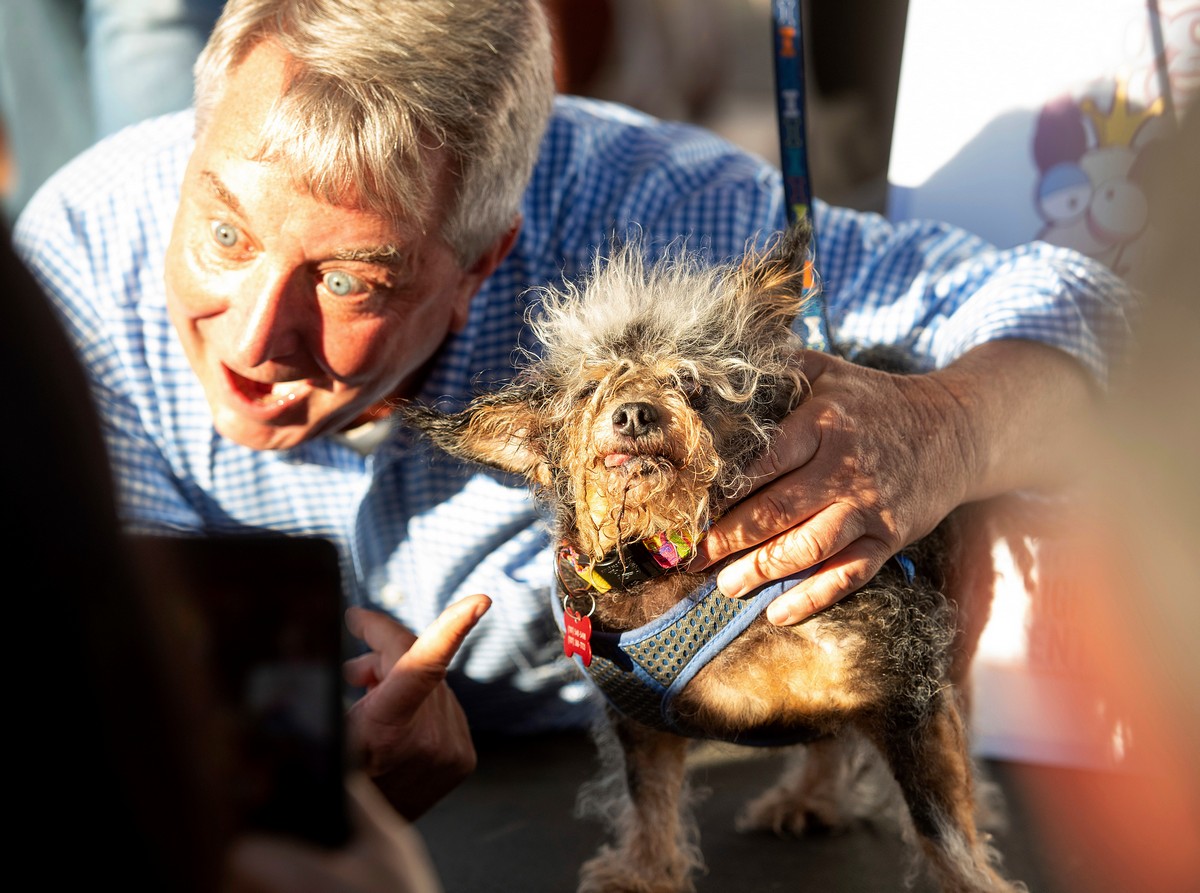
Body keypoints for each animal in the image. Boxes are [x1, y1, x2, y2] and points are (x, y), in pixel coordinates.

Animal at [405, 222, 1022, 893]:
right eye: (591, 388)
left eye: (690, 382)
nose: (634, 413)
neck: (669, 555)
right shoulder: (638, 722)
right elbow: (648, 798)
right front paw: (643, 871)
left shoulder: (904, 682)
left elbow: (941, 827)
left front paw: (971, 879)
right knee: (828, 740)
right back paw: (808, 797)